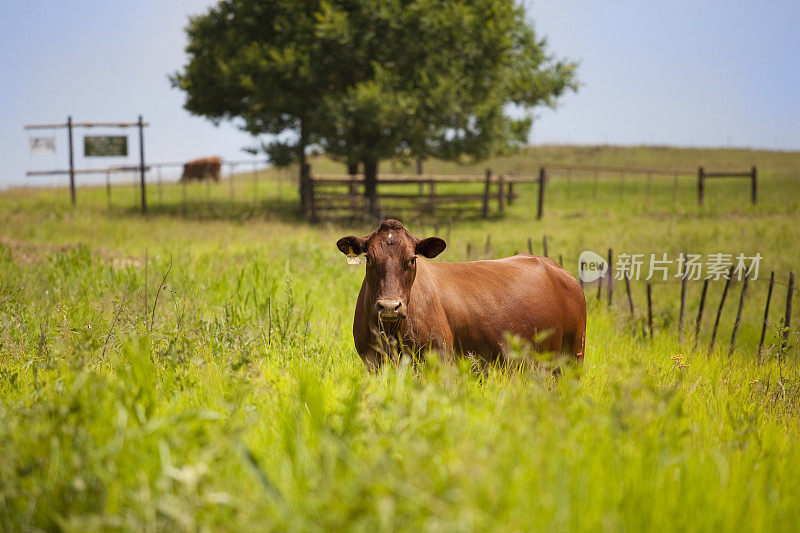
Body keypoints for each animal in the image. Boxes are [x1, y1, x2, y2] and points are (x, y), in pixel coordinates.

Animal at [334, 218, 584, 368]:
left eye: (412, 259)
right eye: (369, 258)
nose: (389, 306)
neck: (391, 333)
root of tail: (554, 266)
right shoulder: (372, 362)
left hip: (573, 356)